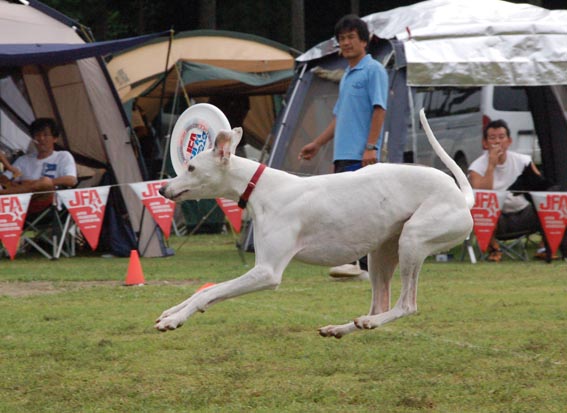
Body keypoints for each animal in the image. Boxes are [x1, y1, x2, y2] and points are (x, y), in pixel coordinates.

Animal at [155, 109, 474, 338]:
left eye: (191, 167)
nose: (162, 189)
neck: (261, 187)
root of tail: (462, 197)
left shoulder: (267, 272)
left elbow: (210, 291)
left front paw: (175, 319)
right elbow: (204, 292)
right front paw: (171, 312)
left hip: (413, 239)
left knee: (407, 306)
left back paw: (370, 323)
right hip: (382, 251)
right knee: (379, 303)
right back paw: (346, 327)